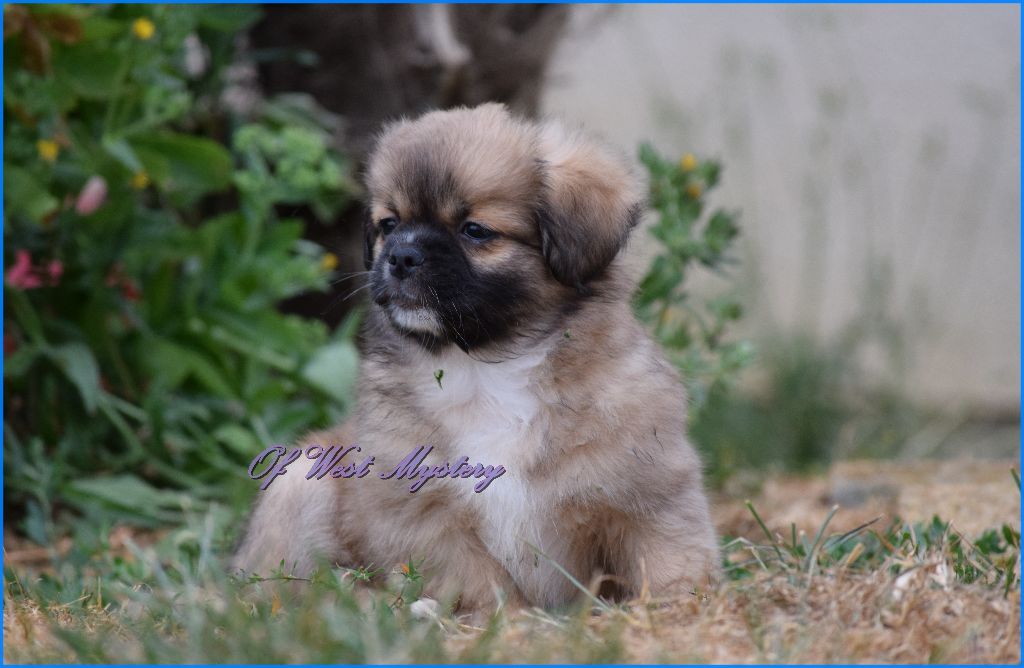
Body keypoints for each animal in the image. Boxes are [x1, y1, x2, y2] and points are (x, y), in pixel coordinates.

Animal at [233, 103, 719, 614]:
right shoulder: (425, 514)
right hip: (298, 479)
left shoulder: (646, 491)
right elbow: (480, 584)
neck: (487, 369)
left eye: (475, 231)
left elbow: (666, 557)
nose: (402, 256)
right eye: (389, 224)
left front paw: (674, 607)